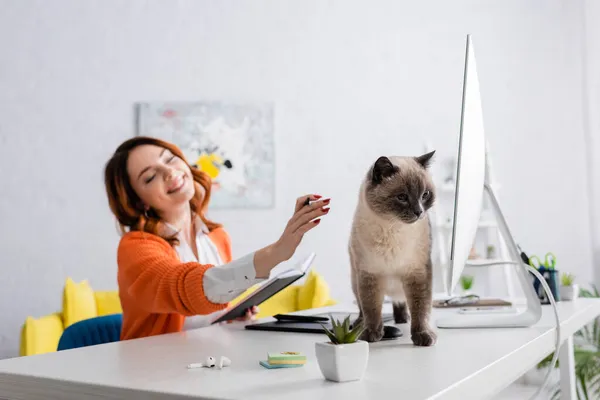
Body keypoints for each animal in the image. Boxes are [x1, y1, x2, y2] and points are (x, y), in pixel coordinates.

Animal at [346, 152, 436, 346]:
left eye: (425, 195)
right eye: (402, 197)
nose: (419, 212)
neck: (393, 228)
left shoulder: (418, 274)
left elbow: (421, 309)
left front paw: (423, 336)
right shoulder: (370, 275)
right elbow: (371, 309)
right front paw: (371, 335)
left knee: (401, 302)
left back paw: (403, 319)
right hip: (355, 280)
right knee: (362, 308)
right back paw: (359, 325)